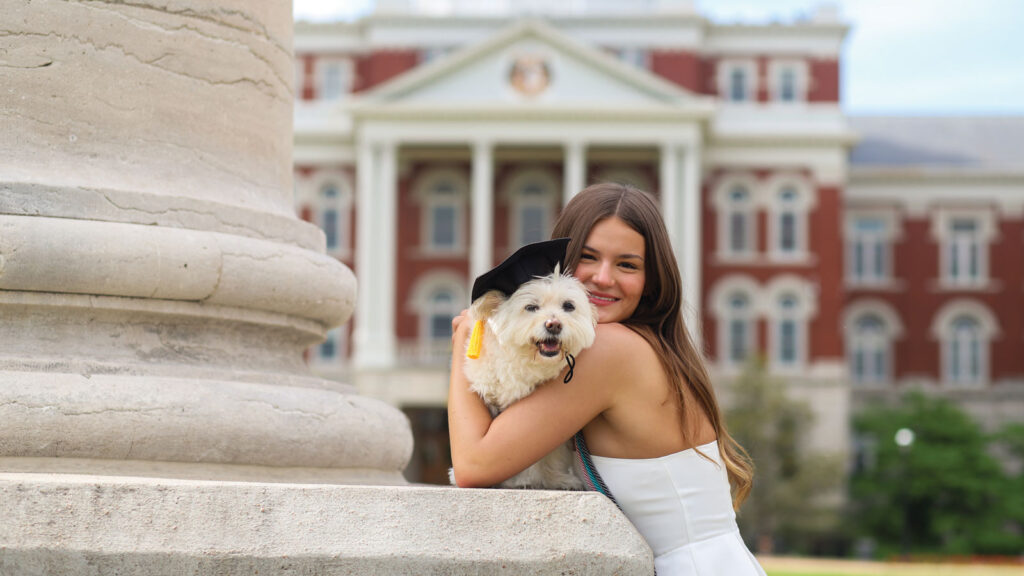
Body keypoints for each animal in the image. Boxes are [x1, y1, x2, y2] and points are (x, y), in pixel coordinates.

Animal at [458, 266, 598, 485]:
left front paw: (555, 479)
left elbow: (551, 453)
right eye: (531, 307)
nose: (554, 325)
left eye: (569, 306)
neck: (524, 361)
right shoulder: (486, 394)